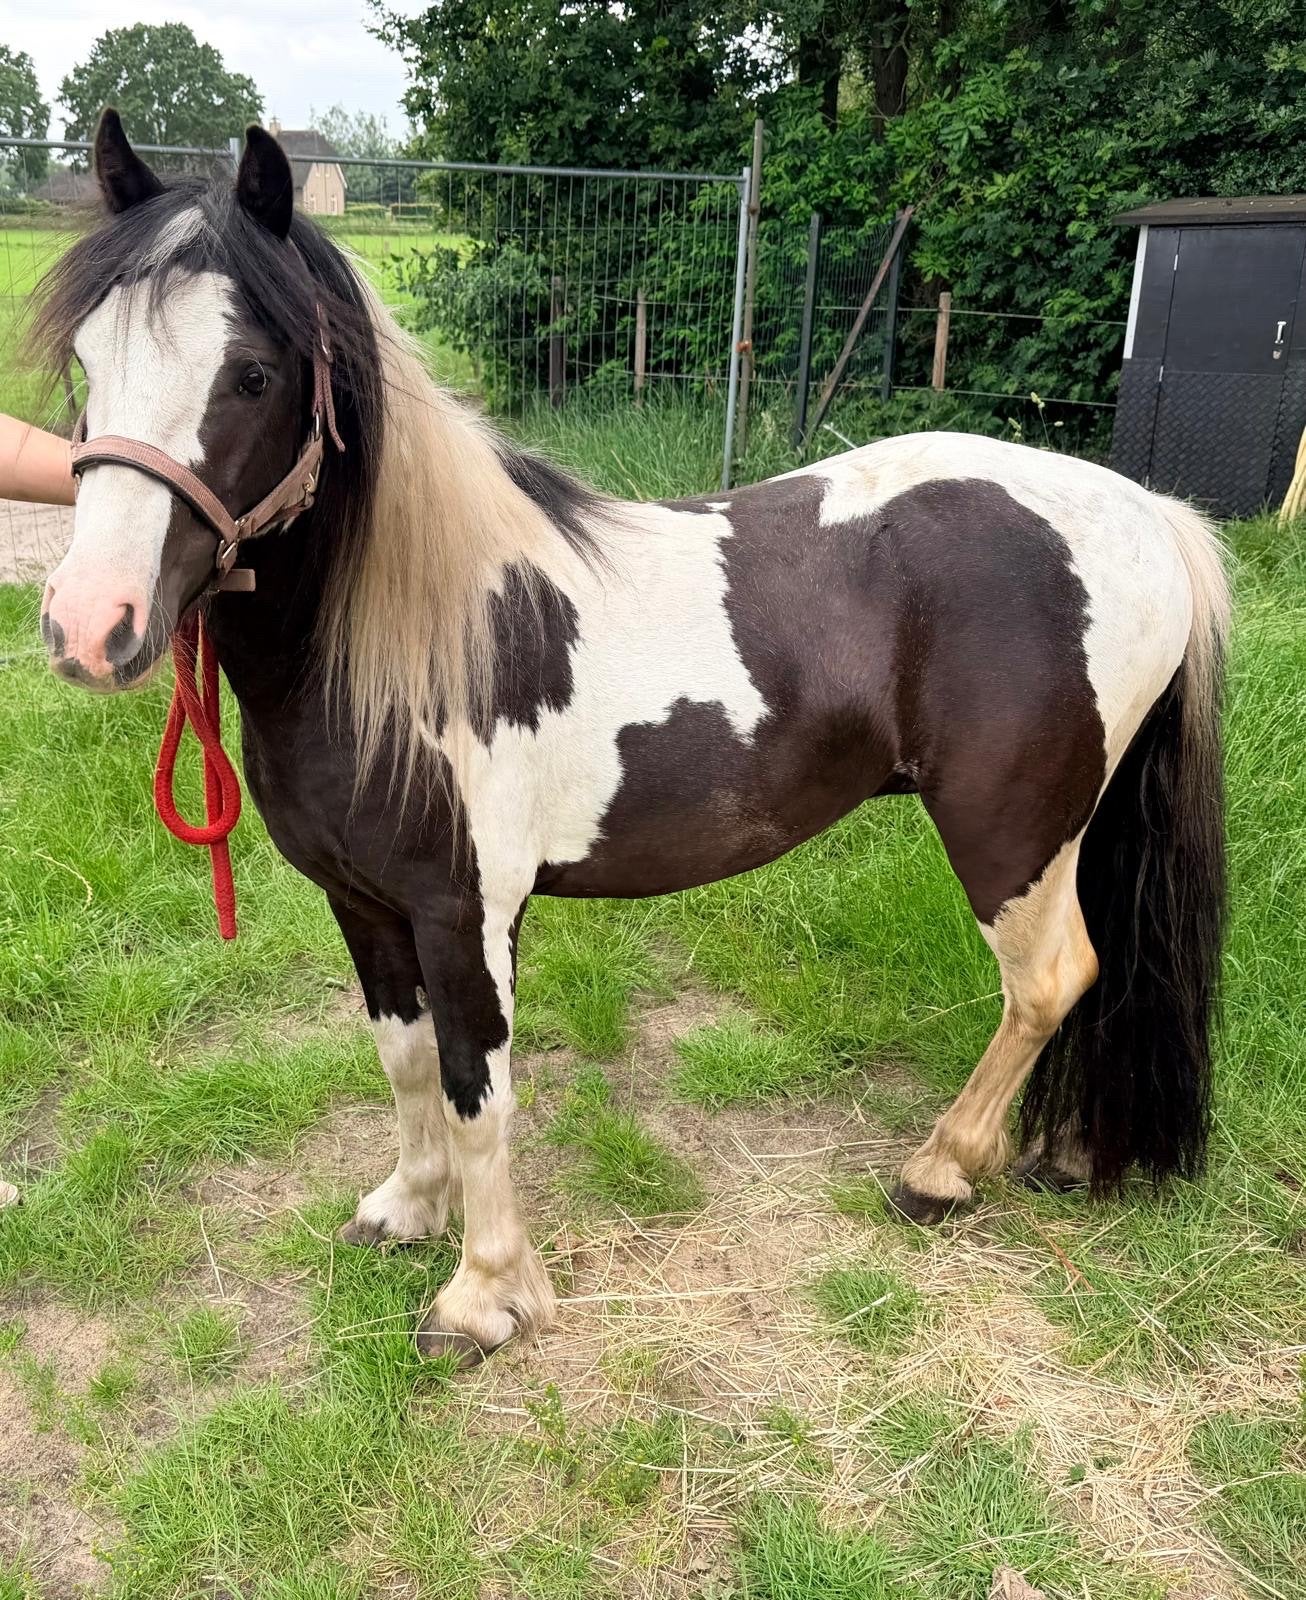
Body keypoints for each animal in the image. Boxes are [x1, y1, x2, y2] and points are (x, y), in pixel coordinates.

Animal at [33, 113, 1228, 1366]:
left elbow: (476, 1086)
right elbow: (404, 1060)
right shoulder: (361, 901)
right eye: (88, 363)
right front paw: (406, 1209)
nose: (90, 624)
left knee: (1048, 981)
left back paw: (939, 1170)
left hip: (1013, 836)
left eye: (254, 374)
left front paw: (481, 1296)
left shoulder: (467, 913)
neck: (415, 638)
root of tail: (1146, 515)